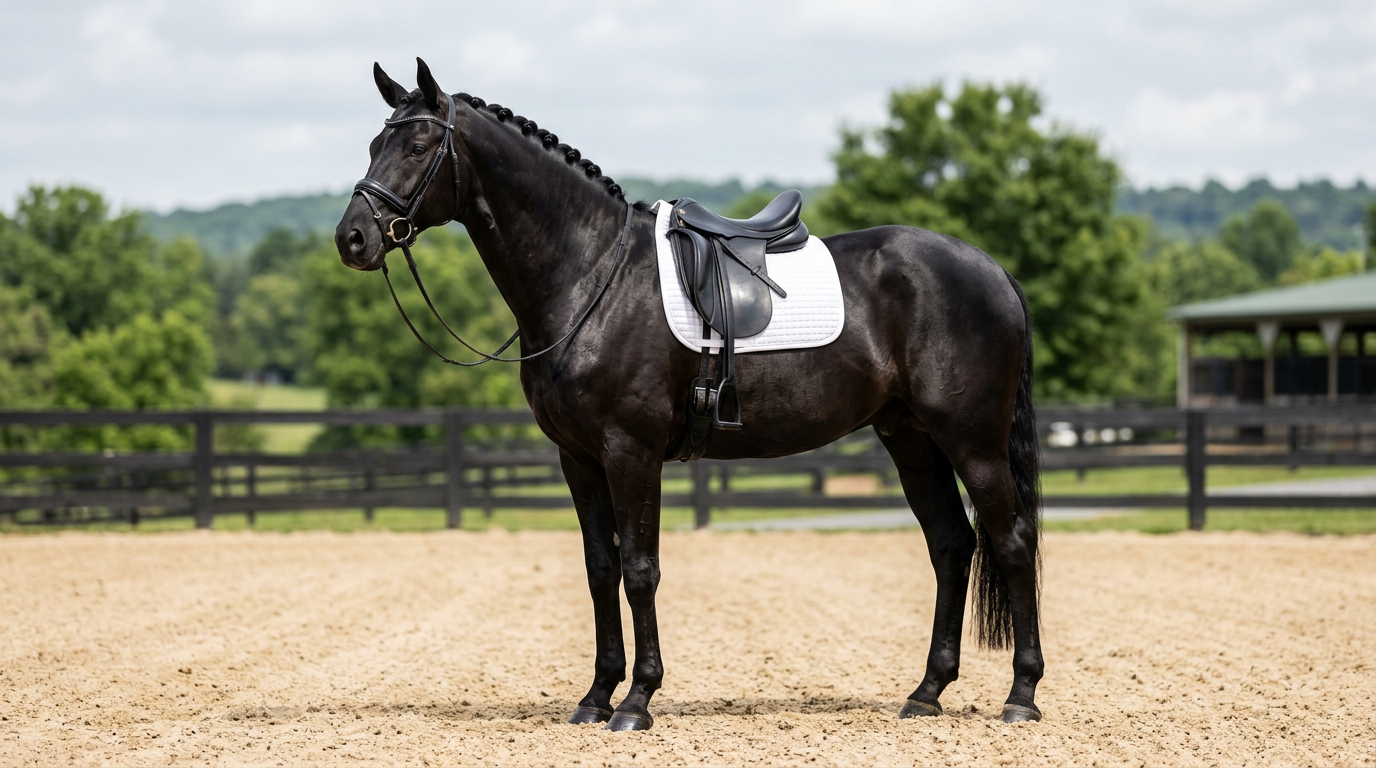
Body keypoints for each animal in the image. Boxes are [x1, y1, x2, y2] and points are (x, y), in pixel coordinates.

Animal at [335, 59, 1044, 731]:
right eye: (374, 143)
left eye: (420, 145)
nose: (353, 239)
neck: (592, 276)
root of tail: (992, 270)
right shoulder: (578, 458)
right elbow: (601, 569)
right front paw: (596, 696)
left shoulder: (631, 451)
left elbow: (639, 568)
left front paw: (637, 701)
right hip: (912, 438)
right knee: (951, 544)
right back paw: (926, 693)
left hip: (972, 441)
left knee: (1011, 540)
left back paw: (1022, 695)